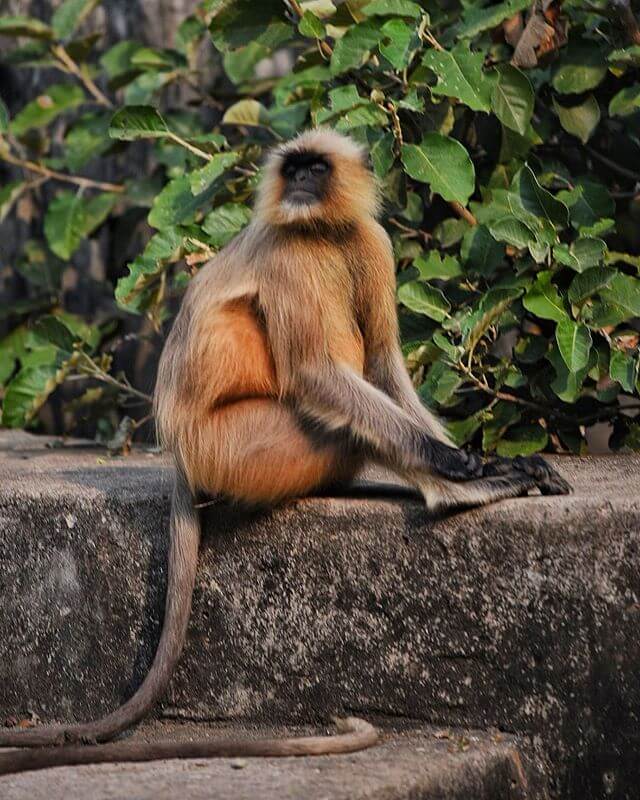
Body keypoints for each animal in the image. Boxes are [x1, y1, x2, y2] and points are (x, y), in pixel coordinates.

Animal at [0, 130, 568, 776]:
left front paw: (488, 461)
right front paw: (452, 464)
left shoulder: (370, 240)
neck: (325, 231)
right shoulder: (292, 253)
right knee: (333, 402)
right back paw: (449, 493)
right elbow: (318, 372)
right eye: (292, 169)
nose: (298, 185)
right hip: (235, 445)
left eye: (315, 169)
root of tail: (180, 451)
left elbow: (382, 363)